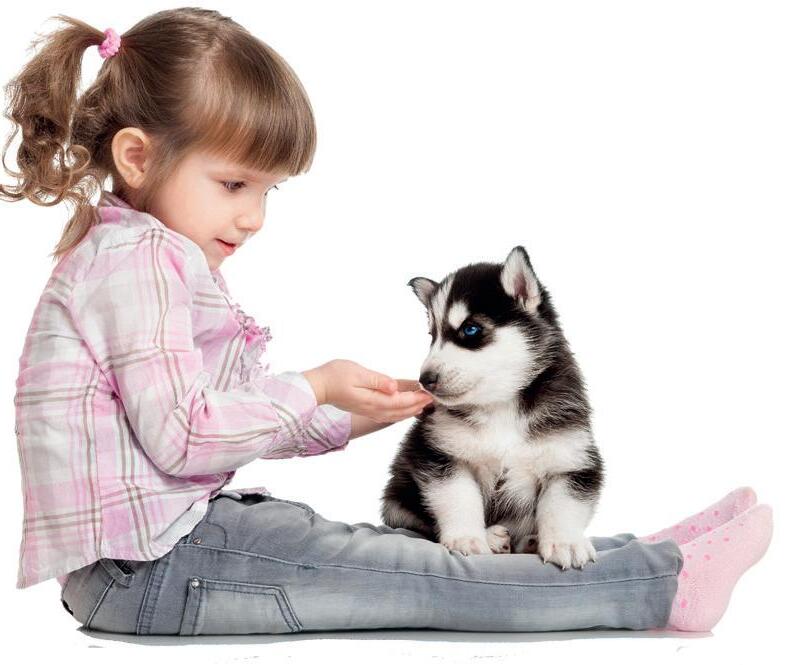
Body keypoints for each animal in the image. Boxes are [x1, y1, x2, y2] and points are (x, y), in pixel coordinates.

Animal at [380, 246, 604, 570]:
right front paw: (467, 538)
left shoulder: (572, 458)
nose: (425, 379)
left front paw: (566, 542)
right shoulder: (437, 454)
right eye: (433, 335)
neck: (501, 406)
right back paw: (493, 537)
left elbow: (562, 504)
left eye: (471, 330)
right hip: (398, 499)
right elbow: (458, 497)